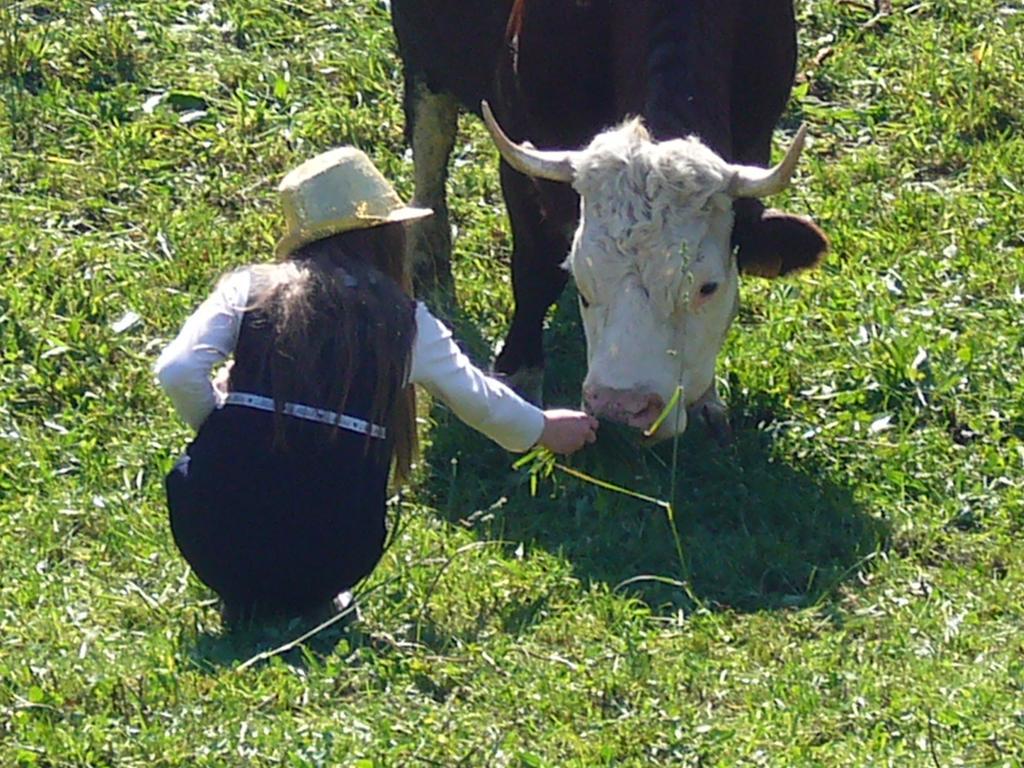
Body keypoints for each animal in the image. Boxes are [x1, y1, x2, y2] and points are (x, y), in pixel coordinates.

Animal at [387, 0, 827, 438]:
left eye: (708, 288)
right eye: (582, 280)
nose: (622, 407)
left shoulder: (756, 141)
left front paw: (706, 398)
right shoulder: (521, 165)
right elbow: (535, 274)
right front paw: (518, 379)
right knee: (430, 133)